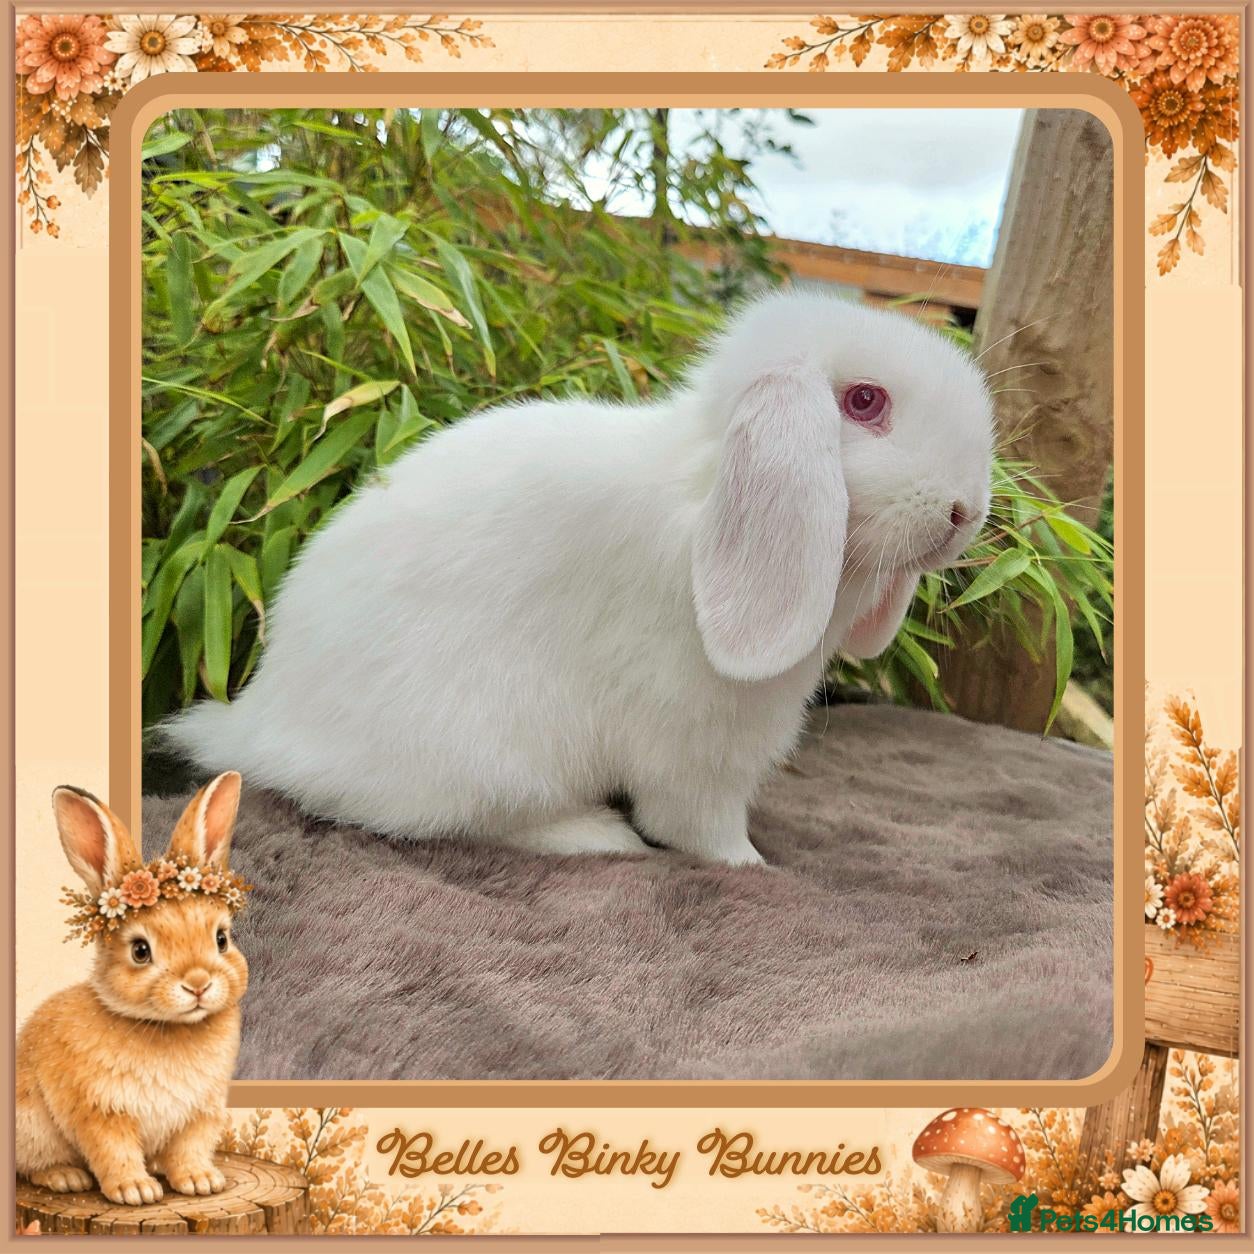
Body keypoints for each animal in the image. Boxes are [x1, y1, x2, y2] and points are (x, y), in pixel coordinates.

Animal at [16, 773, 248, 1205]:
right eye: (141, 951)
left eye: (222, 939)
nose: (198, 984)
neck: (168, 1029)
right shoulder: (101, 1111)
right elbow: (114, 1151)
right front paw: (135, 1191)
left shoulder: (200, 1113)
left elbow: (190, 1149)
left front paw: (201, 1182)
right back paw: (65, 1177)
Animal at [167, 289, 993, 865]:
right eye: (864, 402)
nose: (967, 513)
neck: (703, 495)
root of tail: (259, 725)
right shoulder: (698, 742)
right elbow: (699, 825)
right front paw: (754, 865)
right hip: (493, 752)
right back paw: (599, 836)